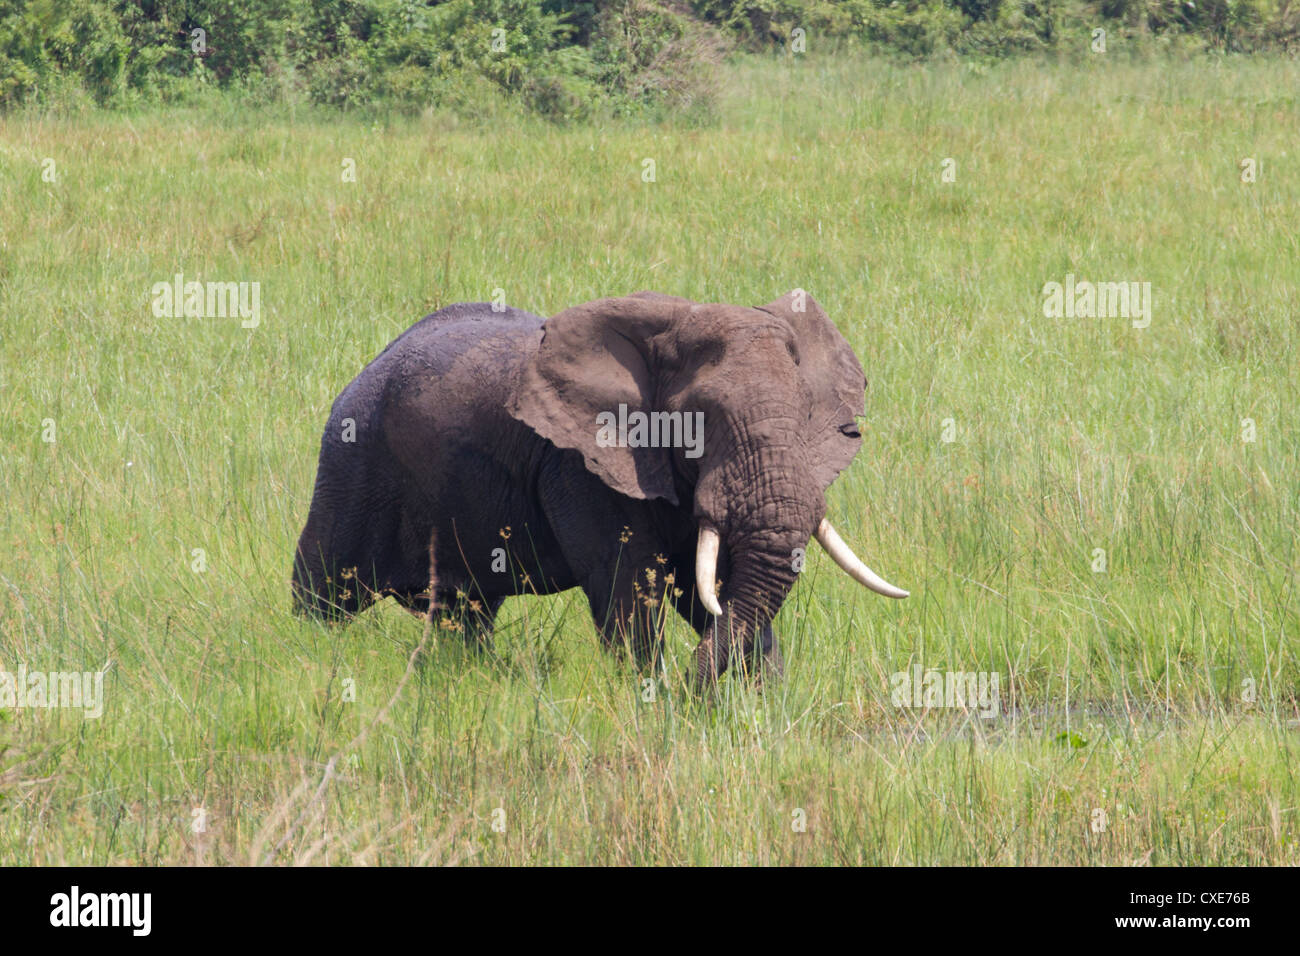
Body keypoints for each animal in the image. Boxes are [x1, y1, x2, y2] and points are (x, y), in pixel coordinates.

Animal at [292, 291, 907, 684]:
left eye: (806, 414)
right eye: (699, 420)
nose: (691, 690)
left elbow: (720, 585)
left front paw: (761, 702)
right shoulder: (580, 466)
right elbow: (631, 584)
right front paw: (653, 696)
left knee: (465, 611)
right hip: (351, 460)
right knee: (325, 591)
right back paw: (307, 653)